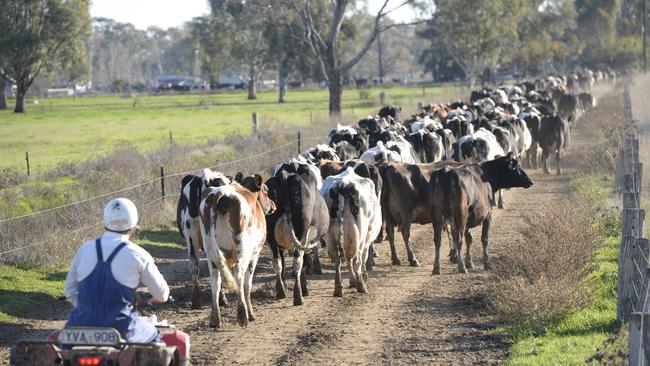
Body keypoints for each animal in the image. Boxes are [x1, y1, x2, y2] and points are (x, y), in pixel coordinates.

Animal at [200, 173, 276, 328]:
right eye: (266, 190)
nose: (273, 205)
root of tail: (221, 194)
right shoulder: (255, 254)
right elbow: (247, 285)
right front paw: (251, 313)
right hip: (244, 250)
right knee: (239, 273)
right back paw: (243, 315)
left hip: (210, 252)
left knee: (215, 280)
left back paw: (215, 319)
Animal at [318, 167, 380, 296]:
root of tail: (343, 184)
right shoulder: (367, 236)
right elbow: (364, 256)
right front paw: (362, 276)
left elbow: (348, 259)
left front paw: (352, 281)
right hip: (360, 232)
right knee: (357, 258)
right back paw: (361, 285)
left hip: (330, 235)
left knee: (338, 259)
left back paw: (338, 288)